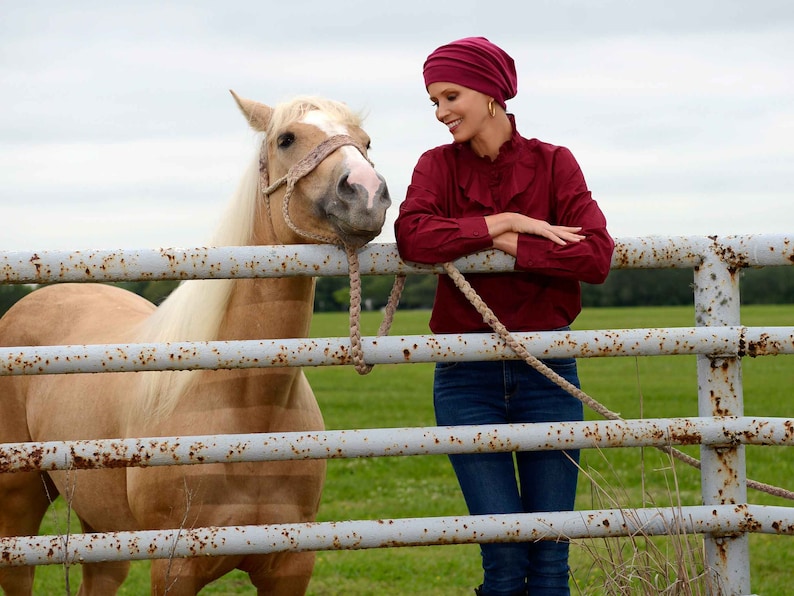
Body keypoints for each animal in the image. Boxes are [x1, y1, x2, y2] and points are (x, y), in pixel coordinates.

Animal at [0, 91, 390, 592]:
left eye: (366, 142)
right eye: (286, 139)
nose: (366, 191)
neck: (250, 413)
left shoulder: (290, 566)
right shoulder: (175, 567)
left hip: (101, 526)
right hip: (21, 501)